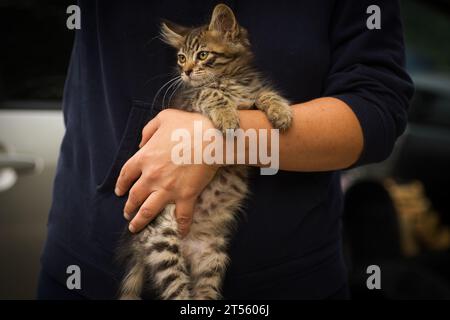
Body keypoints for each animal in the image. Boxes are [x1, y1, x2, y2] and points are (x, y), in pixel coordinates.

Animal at [118, 3, 292, 300]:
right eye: (181, 58)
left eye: (202, 55)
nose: (186, 71)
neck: (231, 79)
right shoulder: (189, 101)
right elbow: (209, 93)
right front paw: (226, 116)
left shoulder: (250, 94)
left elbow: (263, 93)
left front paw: (281, 110)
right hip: (163, 239)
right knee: (177, 291)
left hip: (213, 258)